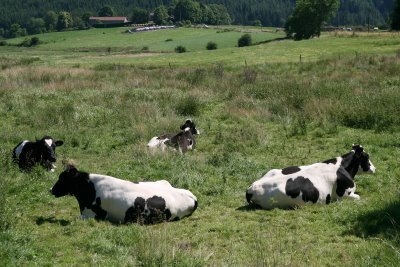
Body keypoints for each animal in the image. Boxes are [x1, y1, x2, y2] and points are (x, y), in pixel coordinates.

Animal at [245, 146, 376, 210]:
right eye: (366, 157)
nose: (375, 168)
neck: (341, 167)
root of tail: (252, 188)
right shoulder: (344, 196)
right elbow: (358, 197)